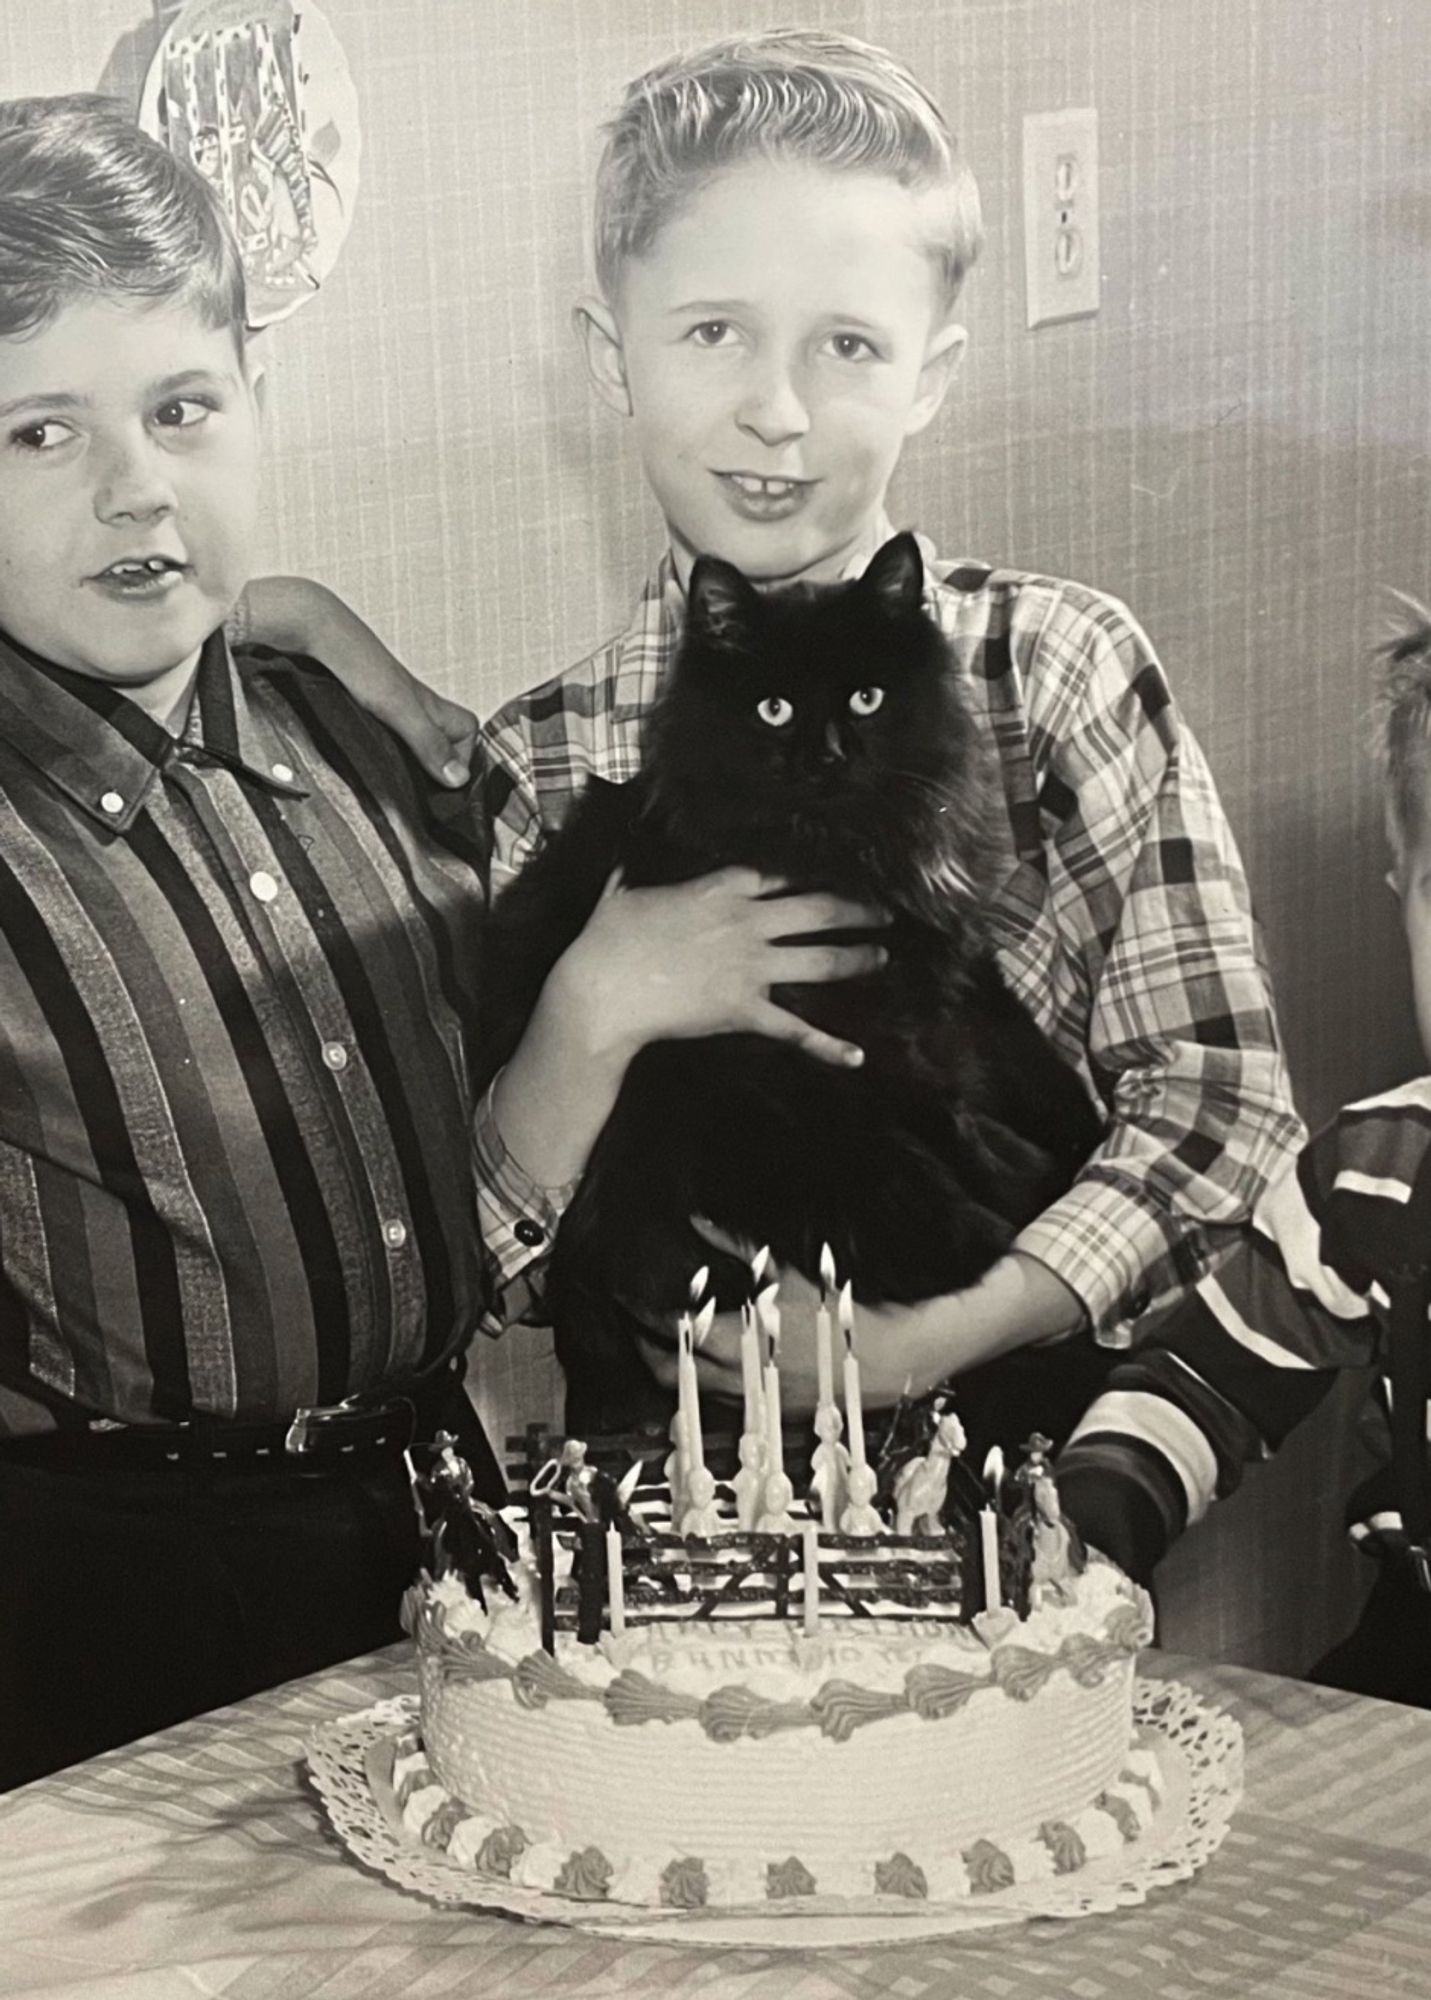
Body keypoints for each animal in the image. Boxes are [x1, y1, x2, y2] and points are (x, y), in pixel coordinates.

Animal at [475, 536, 1103, 1440]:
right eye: (772, 709)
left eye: (866, 698)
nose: (828, 755)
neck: (829, 848)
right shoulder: (827, 1040)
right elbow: (942, 1124)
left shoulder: (929, 990)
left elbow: (992, 1074)